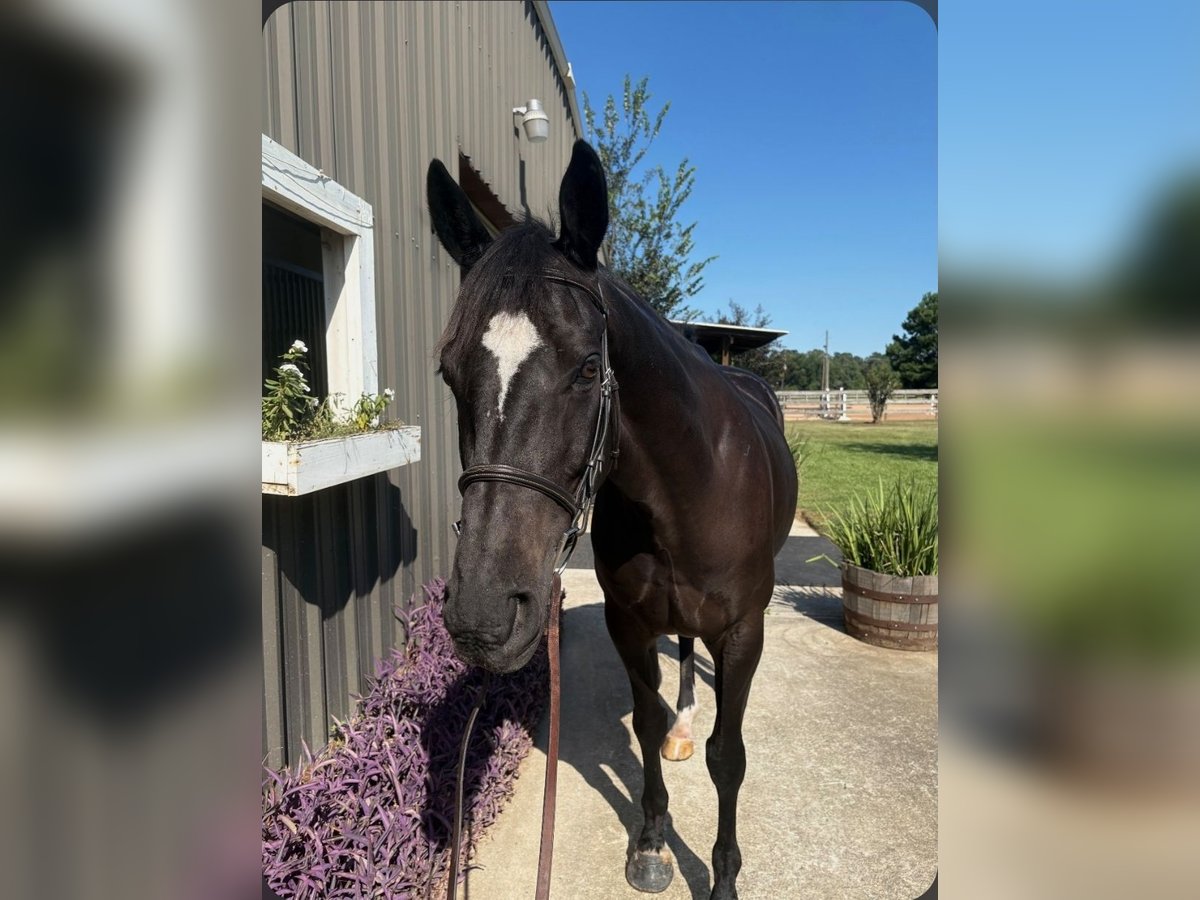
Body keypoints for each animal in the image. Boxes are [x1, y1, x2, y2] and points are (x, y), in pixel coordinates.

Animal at [426, 140, 797, 900]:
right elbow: (647, 726)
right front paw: (652, 841)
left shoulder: (742, 631)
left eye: (588, 369)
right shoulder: (630, 623)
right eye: (449, 372)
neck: (690, 488)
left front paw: (721, 877)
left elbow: (729, 757)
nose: (481, 617)